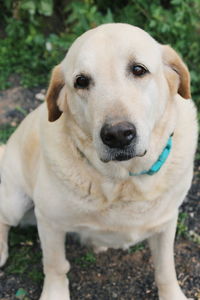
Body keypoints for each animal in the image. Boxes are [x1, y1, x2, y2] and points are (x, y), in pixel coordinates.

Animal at [0, 24, 198, 300]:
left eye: (139, 69)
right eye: (81, 81)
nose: (118, 134)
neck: (123, 181)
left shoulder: (166, 222)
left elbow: (165, 269)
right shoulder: (49, 221)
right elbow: (56, 265)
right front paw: (55, 293)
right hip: (16, 202)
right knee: (4, 218)